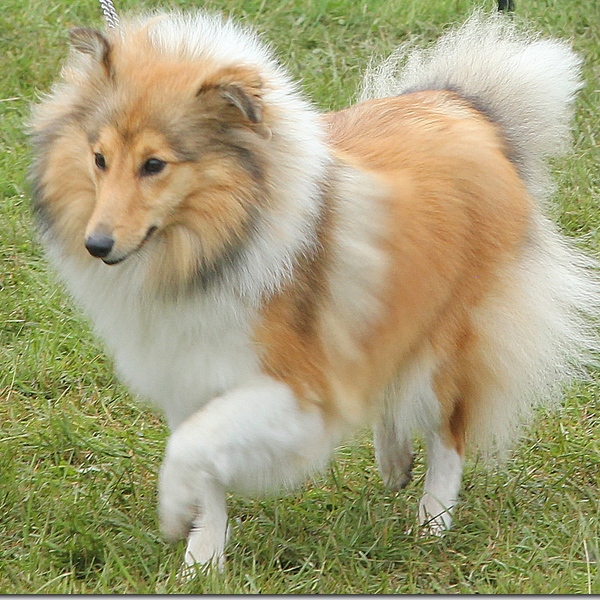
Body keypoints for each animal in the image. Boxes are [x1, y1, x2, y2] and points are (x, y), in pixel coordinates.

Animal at [29, 10, 600, 572]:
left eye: (154, 165)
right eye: (99, 158)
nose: (96, 245)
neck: (209, 248)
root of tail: (467, 106)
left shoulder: (297, 389)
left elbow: (191, 448)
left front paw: (173, 511)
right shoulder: (191, 377)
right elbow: (204, 467)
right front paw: (200, 565)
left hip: (452, 339)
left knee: (447, 431)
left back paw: (432, 523)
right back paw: (395, 462)